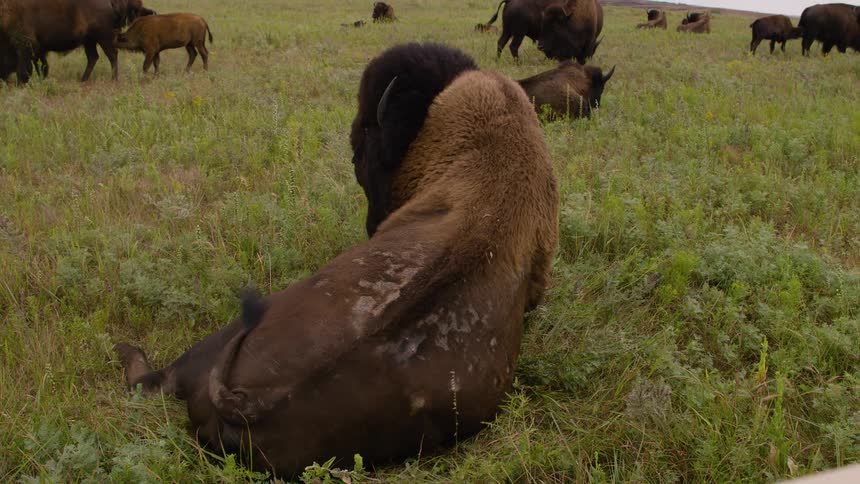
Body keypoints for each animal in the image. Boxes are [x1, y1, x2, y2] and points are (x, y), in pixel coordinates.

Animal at [0, 0, 154, 84]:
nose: (2, 80)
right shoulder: (38, 49)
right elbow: (42, 66)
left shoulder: (25, 45)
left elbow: (24, 69)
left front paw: (21, 85)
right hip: (89, 40)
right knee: (93, 57)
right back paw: (83, 80)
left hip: (103, 37)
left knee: (112, 56)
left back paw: (113, 79)